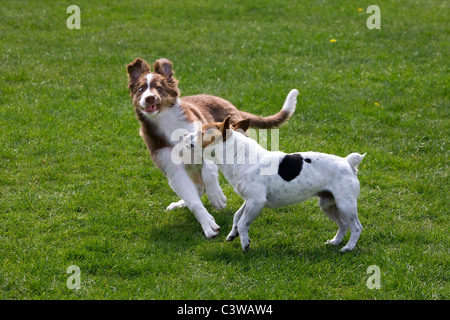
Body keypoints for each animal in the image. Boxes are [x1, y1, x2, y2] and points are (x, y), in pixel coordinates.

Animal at [125, 57, 298, 238]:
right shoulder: (172, 169)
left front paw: (216, 197)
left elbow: (208, 171)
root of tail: (227, 103)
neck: (167, 122)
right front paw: (208, 225)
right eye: (140, 89)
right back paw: (181, 203)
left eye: (159, 88)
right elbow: (193, 199)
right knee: (197, 189)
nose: (150, 98)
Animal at [185, 115, 366, 252]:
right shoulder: (249, 200)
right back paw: (335, 242)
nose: (186, 137)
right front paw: (232, 234)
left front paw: (245, 243)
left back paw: (348, 247)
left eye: (201, 132)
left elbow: (244, 222)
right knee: (343, 225)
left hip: (345, 204)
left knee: (356, 227)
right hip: (328, 204)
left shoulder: (257, 202)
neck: (238, 156)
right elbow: (237, 216)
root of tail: (347, 162)